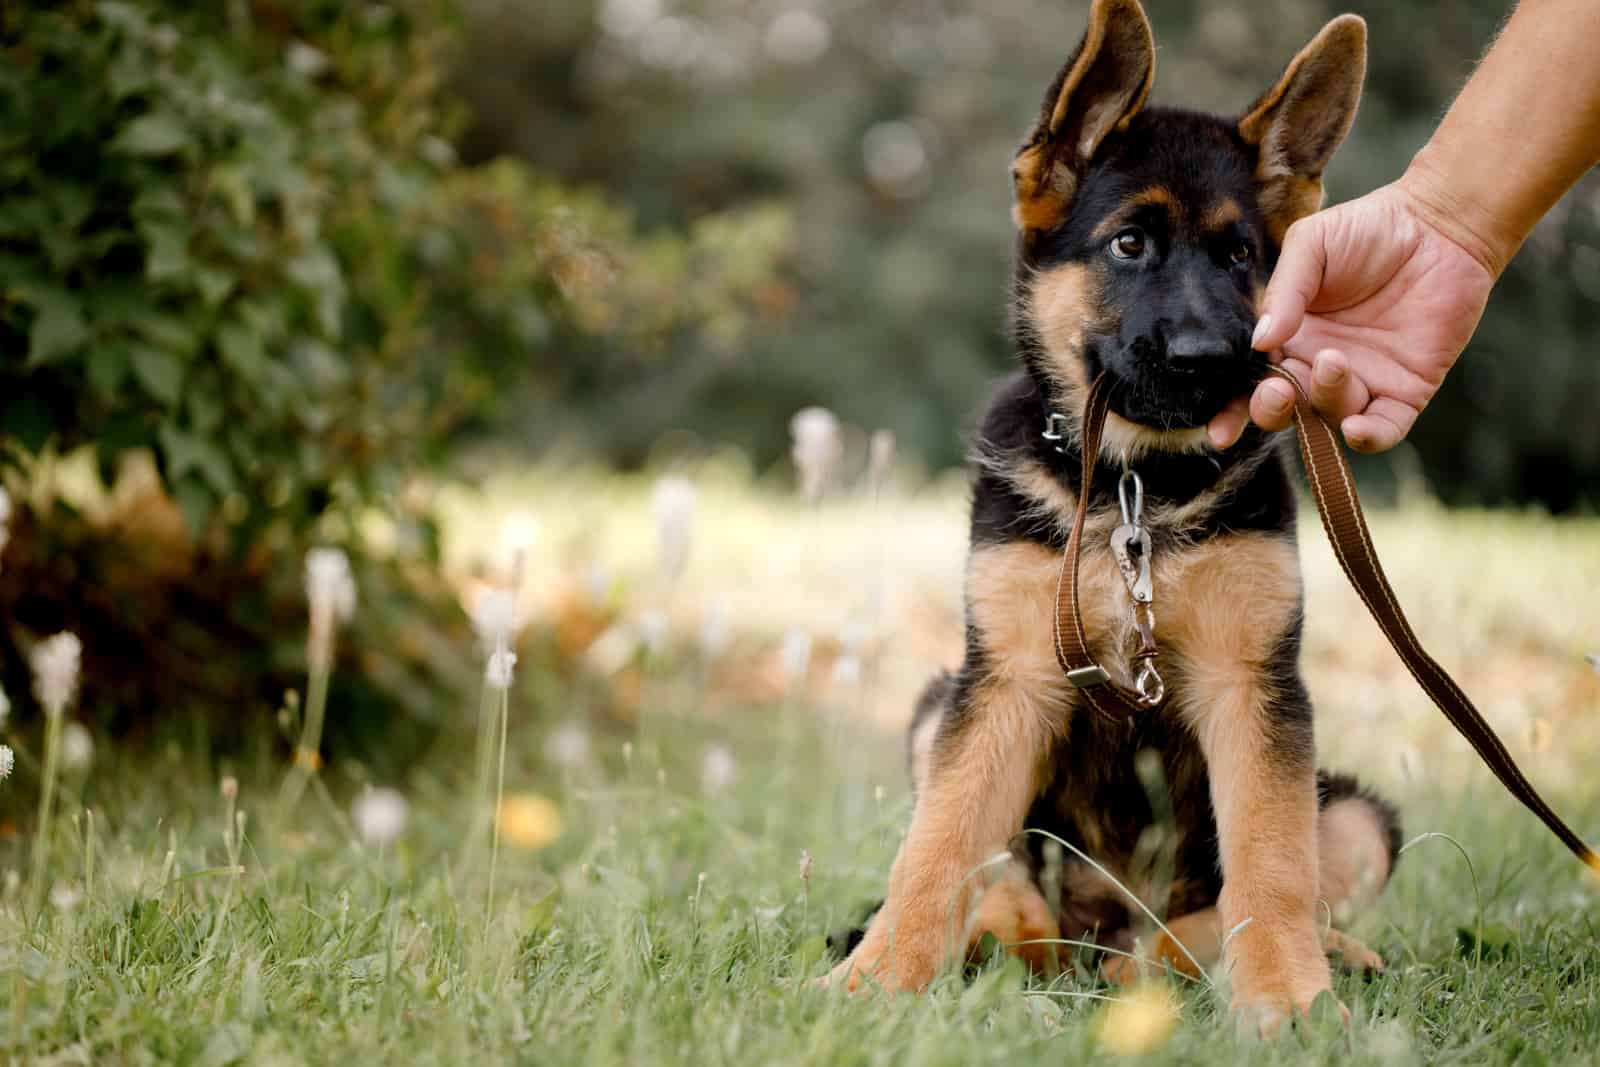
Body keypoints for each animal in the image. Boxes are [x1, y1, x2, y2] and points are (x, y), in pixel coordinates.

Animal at [832, 0, 1408, 1030]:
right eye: (1128, 245)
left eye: (1240, 256)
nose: (1208, 357)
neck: (1134, 487)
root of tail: (1094, 941)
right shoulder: (1007, 679)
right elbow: (937, 845)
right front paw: (874, 979)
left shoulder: (1251, 685)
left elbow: (1273, 864)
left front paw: (1292, 1001)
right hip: (942, 705)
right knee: (1008, 878)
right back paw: (1011, 939)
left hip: (1353, 812)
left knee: (1222, 912)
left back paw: (1242, 959)